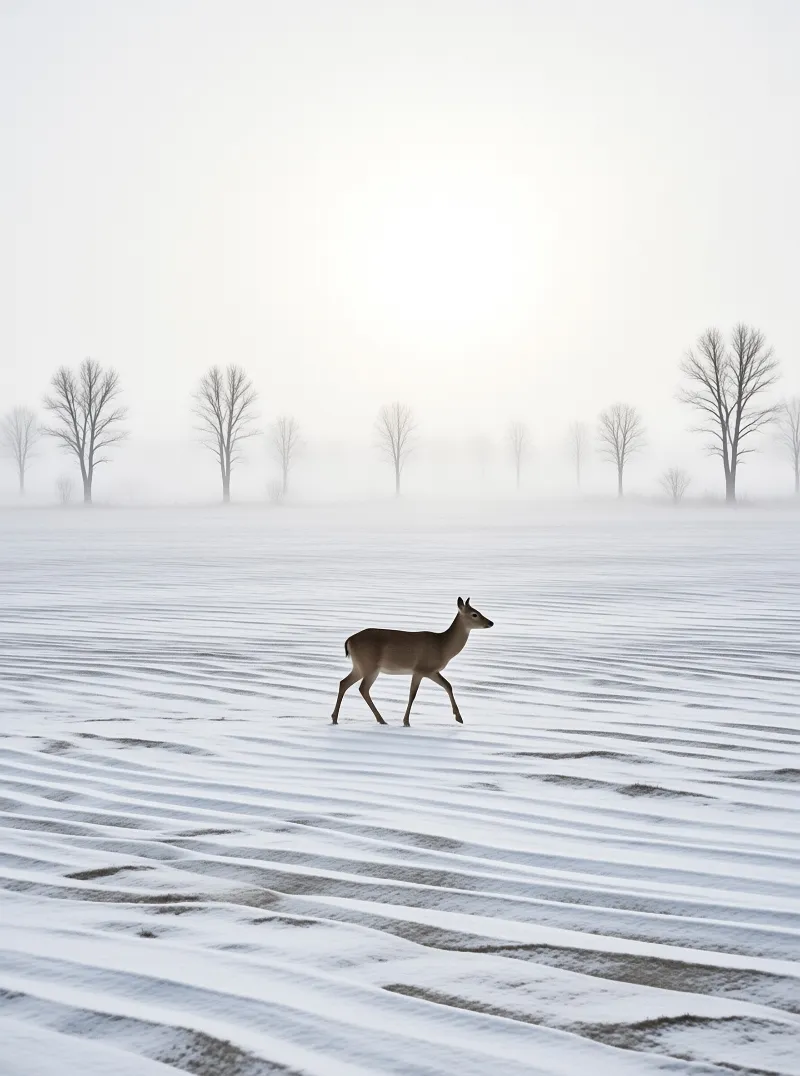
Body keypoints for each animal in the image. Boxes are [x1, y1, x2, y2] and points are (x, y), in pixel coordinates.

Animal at [331, 597, 493, 726]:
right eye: (474, 614)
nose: (490, 622)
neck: (443, 646)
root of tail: (349, 640)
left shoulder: (432, 671)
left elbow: (448, 685)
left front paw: (458, 717)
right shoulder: (420, 669)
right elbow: (412, 694)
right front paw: (406, 721)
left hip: (359, 666)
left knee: (344, 683)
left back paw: (335, 718)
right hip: (370, 666)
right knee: (362, 688)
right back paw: (381, 719)